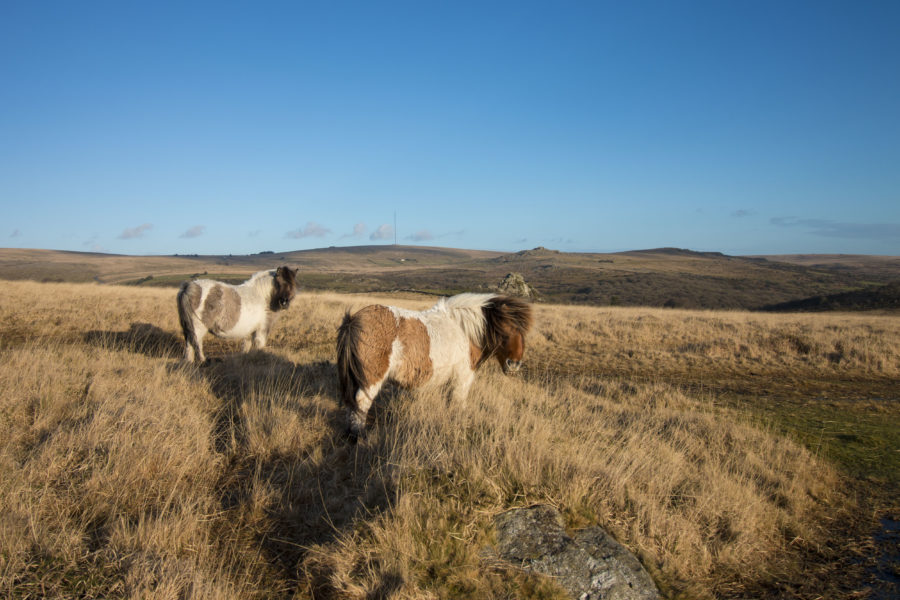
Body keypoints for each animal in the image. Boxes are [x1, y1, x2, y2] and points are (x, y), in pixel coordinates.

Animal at [340, 292, 536, 438]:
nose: (514, 364)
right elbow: (458, 405)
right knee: (362, 402)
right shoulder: (462, 379)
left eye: (523, 331)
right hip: (372, 379)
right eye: (504, 328)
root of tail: (354, 320)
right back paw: (358, 436)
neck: (466, 331)